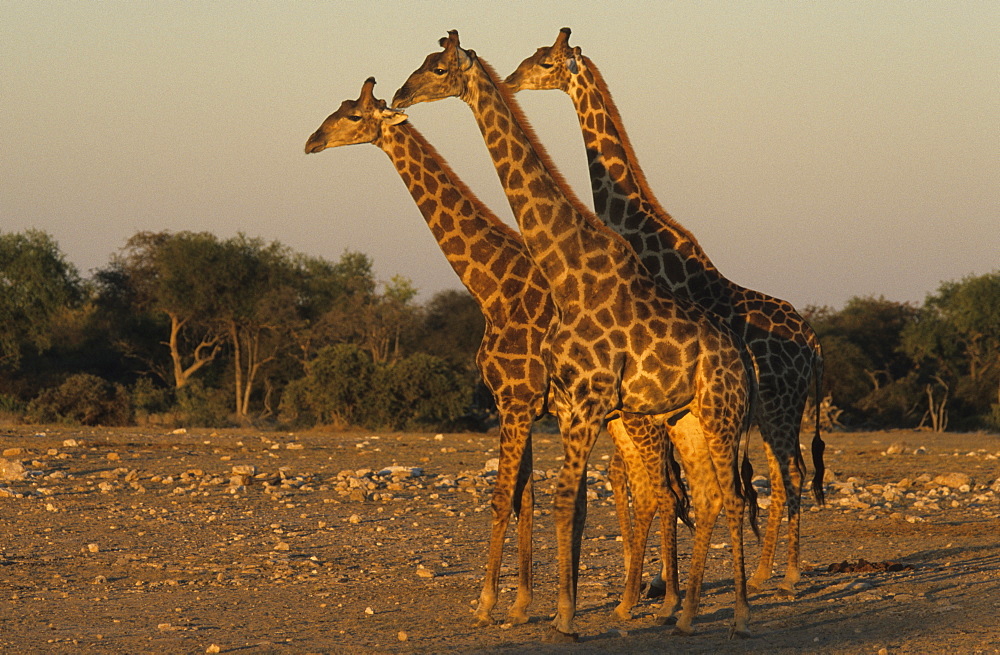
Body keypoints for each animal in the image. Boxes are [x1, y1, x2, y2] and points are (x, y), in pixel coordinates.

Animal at [304, 77, 680, 632]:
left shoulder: (516, 401)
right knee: (651, 486)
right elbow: (526, 496)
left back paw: (666, 600)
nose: (312, 141)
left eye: (353, 116)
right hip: (622, 419)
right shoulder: (519, 405)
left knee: (664, 489)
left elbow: (505, 498)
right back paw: (639, 597)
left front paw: (486, 603)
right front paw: (523, 603)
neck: (492, 285)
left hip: (639, 417)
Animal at [390, 32, 756, 640]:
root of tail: (741, 360)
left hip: (720, 413)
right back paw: (684, 615)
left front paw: (556, 614)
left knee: (730, 495)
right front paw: (554, 606)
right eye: (420, 63)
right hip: (685, 417)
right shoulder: (566, 405)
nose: (398, 96)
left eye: (438, 68)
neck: (567, 272)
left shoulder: (581, 402)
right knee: (705, 495)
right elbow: (565, 502)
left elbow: (562, 502)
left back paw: (741, 614)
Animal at [508, 28, 828, 596]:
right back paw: (765, 571)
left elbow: (659, 484)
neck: (645, 239)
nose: (511, 79)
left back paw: (782, 573)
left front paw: (657, 583)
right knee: (779, 476)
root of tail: (812, 344)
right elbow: (653, 482)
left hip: (779, 406)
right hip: (774, 410)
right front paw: (657, 581)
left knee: (787, 478)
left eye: (546, 62)